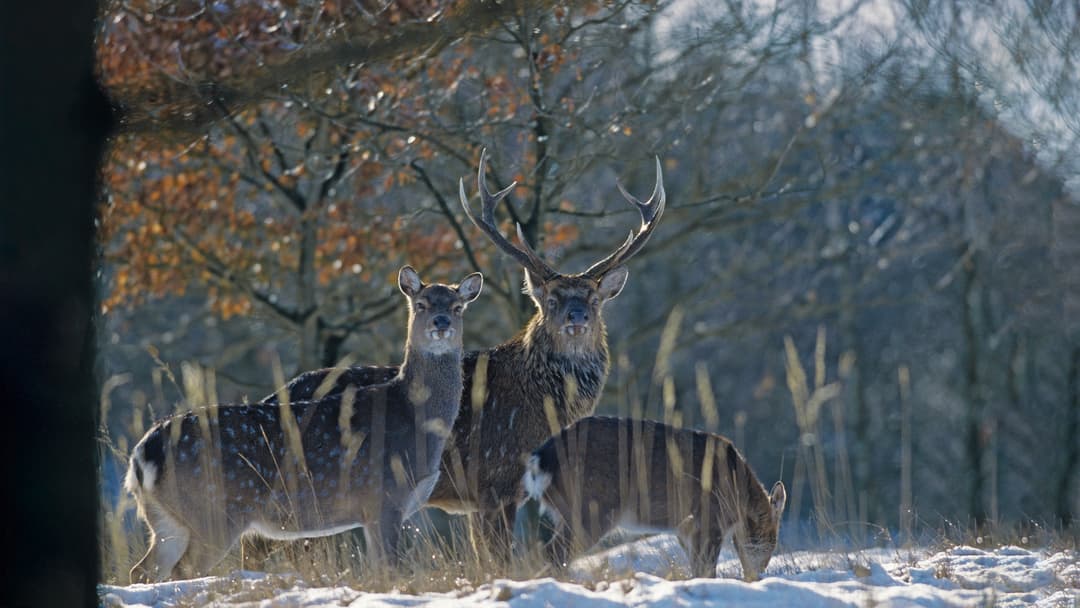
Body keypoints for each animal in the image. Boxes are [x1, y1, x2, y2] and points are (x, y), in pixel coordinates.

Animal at [124, 268, 483, 583]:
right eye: (421, 304)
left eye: (457, 306)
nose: (441, 322)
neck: (413, 419)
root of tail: (142, 454)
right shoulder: (385, 497)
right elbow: (390, 570)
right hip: (213, 511)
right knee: (183, 570)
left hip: (167, 518)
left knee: (143, 570)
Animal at [263, 150, 665, 552]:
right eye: (551, 299)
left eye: (595, 299)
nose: (577, 316)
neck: (543, 408)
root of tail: (273, 394)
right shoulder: (497, 480)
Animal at [522, 419, 786, 578]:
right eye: (772, 539)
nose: (757, 574)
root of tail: (541, 459)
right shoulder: (709, 520)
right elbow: (706, 569)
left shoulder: (685, 528)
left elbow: (696, 567)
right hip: (590, 509)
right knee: (553, 552)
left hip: (566, 512)